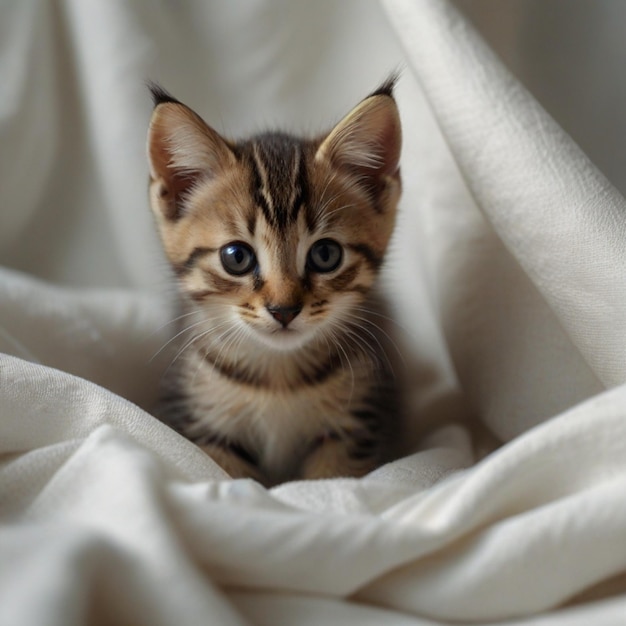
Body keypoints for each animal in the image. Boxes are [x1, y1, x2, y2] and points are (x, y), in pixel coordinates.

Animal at [146, 78, 400, 486]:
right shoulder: (207, 426)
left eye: (325, 254)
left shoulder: (354, 425)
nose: (284, 310)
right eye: (236, 257)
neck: (278, 378)